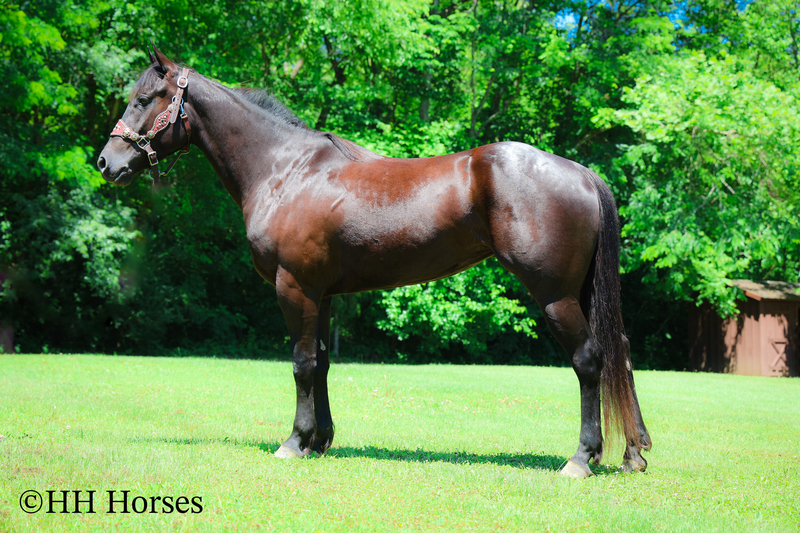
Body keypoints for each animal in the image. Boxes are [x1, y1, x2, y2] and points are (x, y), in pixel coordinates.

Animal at [97, 47, 651, 478]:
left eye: (144, 99)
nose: (107, 162)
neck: (284, 170)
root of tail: (580, 172)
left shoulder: (294, 288)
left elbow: (301, 363)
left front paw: (294, 443)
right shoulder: (320, 295)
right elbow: (320, 362)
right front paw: (320, 441)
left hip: (555, 294)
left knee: (589, 360)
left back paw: (581, 458)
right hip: (581, 293)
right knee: (619, 351)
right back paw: (633, 454)